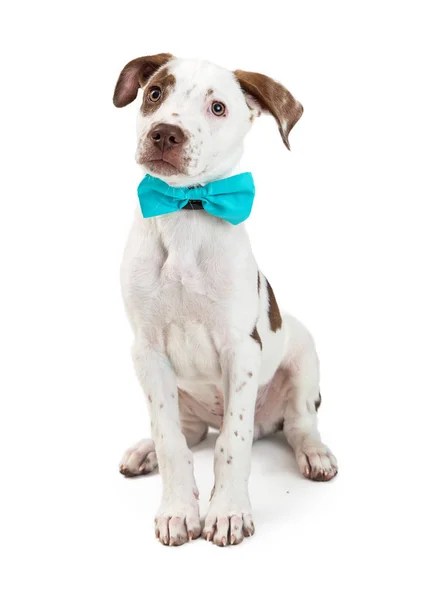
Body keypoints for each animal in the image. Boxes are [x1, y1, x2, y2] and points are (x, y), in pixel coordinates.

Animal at [113, 54, 338, 548]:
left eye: (217, 108)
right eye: (155, 93)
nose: (164, 133)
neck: (186, 212)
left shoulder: (242, 348)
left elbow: (231, 442)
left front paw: (229, 512)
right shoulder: (146, 351)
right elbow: (171, 440)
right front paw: (178, 511)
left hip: (304, 354)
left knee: (299, 425)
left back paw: (315, 453)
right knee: (188, 431)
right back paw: (143, 451)